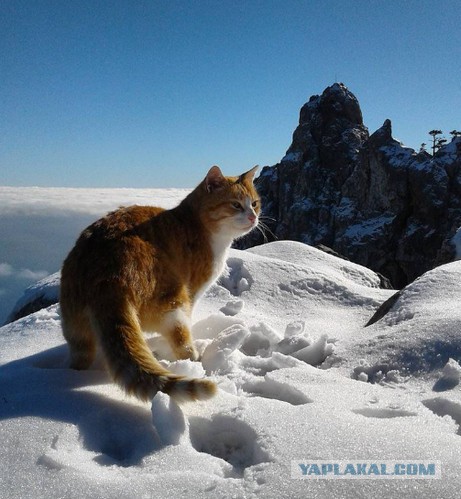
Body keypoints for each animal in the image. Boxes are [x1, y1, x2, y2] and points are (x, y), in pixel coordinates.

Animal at [59, 166, 258, 404]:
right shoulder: (193, 291)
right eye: (236, 205)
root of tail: (106, 274)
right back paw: (193, 359)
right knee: (181, 341)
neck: (196, 223)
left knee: (80, 357)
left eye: (255, 203)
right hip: (174, 303)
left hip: (74, 329)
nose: (253, 217)